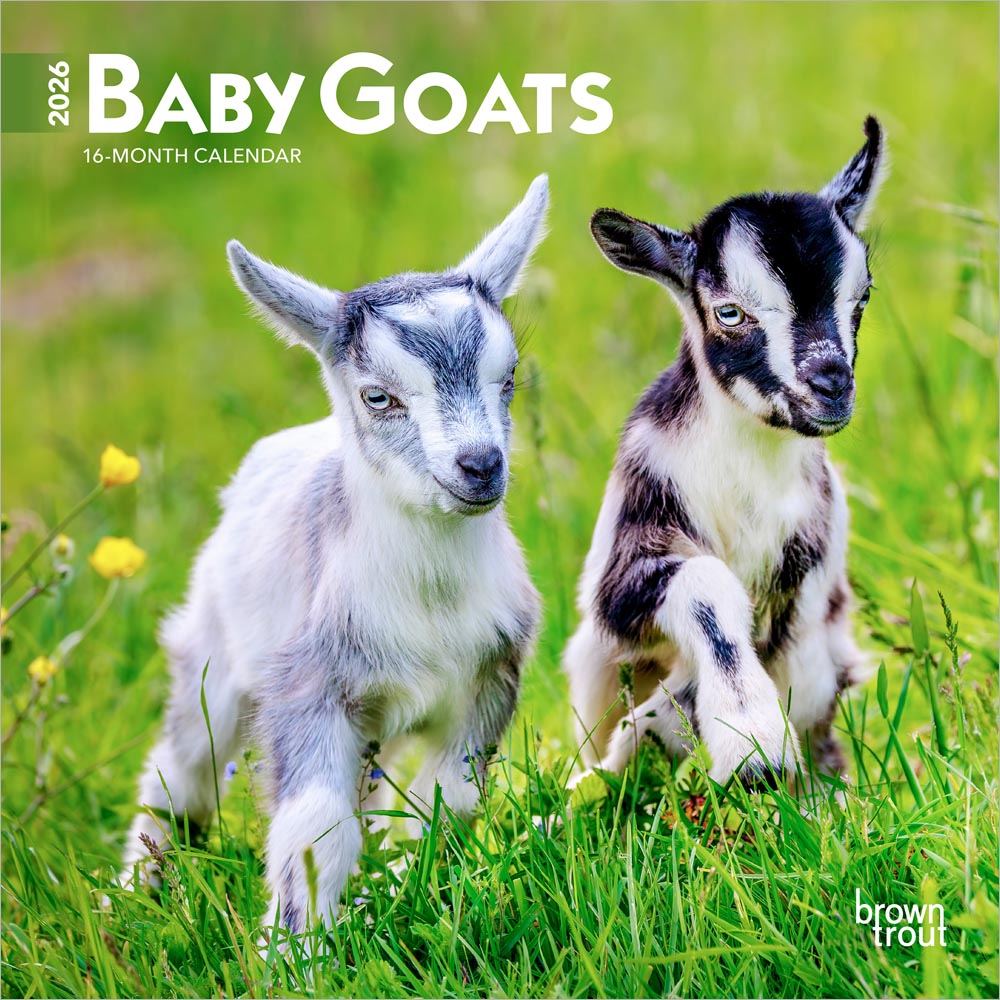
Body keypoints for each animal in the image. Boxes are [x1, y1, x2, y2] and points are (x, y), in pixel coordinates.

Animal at [120, 176, 549, 934]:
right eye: (378, 396)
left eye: (508, 379)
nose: (479, 466)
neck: (430, 600)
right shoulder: (308, 688)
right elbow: (315, 831)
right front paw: (296, 947)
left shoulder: (488, 681)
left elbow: (447, 802)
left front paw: (405, 894)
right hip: (215, 660)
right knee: (180, 774)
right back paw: (132, 895)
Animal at [564, 119, 886, 789]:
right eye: (729, 312)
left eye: (863, 296)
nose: (831, 384)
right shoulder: (627, 564)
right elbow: (707, 590)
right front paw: (752, 744)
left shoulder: (806, 573)